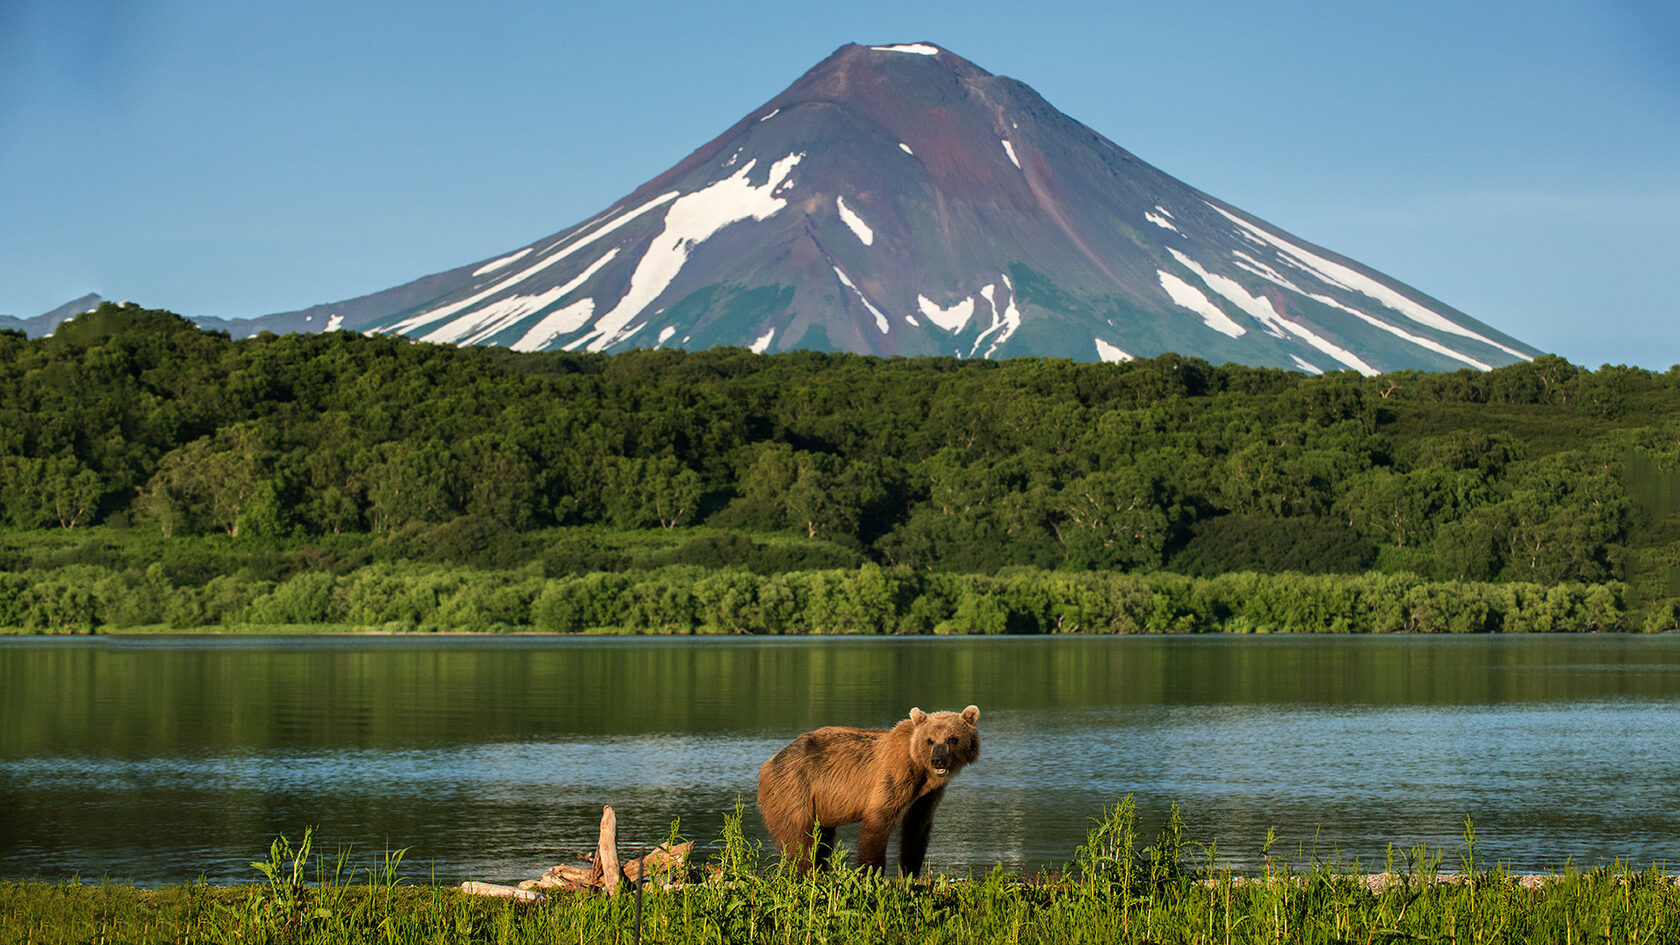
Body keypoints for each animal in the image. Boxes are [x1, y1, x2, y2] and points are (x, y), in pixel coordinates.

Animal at [756, 702, 981, 874]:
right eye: (930, 740)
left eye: (952, 739)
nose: (938, 761)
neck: (921, 770)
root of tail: (768, 763)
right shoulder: (894, 776)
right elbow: (878, 822)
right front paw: (870, 874)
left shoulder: (927, 795)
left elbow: (917, 829)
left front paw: (910, 873)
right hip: (793, 789)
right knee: (800, 840)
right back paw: (805, 873)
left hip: (820, 804)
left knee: (822, 841)